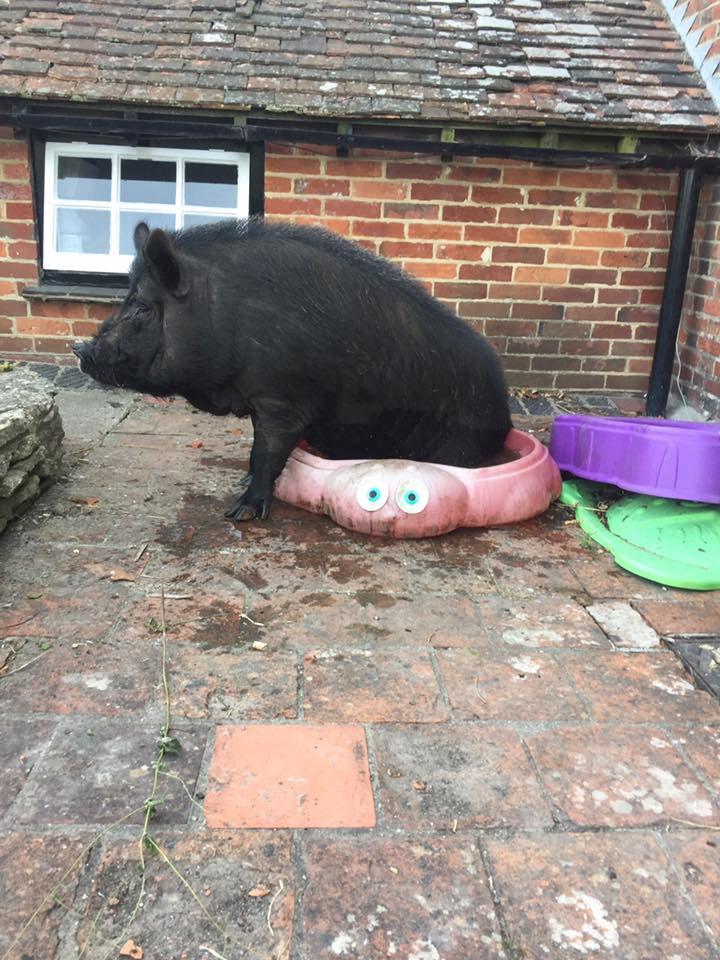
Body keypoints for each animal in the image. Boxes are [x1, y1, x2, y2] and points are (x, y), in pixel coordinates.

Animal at [74, 220, 512, 520]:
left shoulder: (284, 399)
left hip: (459, 442)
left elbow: (267, 451)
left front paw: (241, 513)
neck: (228, 313)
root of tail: (504, 410)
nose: (80, 347)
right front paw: (243, 484)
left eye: (142, 308)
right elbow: (256, 450)